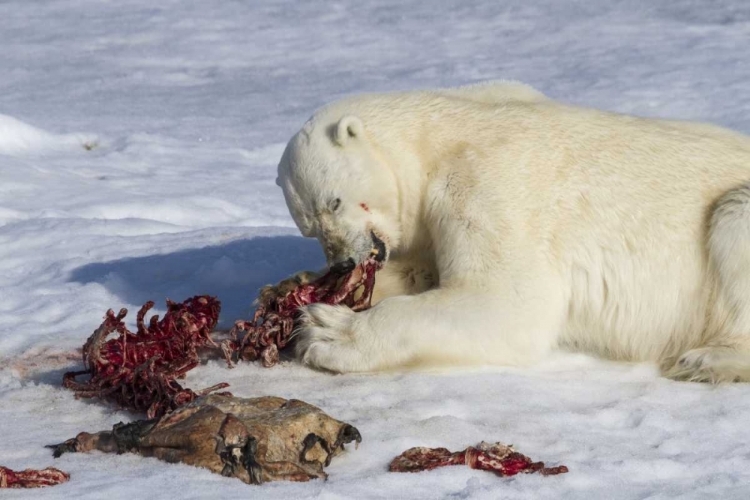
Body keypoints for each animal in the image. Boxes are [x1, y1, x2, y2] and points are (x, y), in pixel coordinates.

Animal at [276, 80, 750, 380]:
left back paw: (707, 360)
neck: (438, 135)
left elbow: (508, 301)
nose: (344, 262)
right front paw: (293, 286)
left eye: (334, 202)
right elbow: (418, 269)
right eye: (308, 227)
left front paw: (324, 330)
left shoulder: (485, 182)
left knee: (730, 218)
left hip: (734, 211)